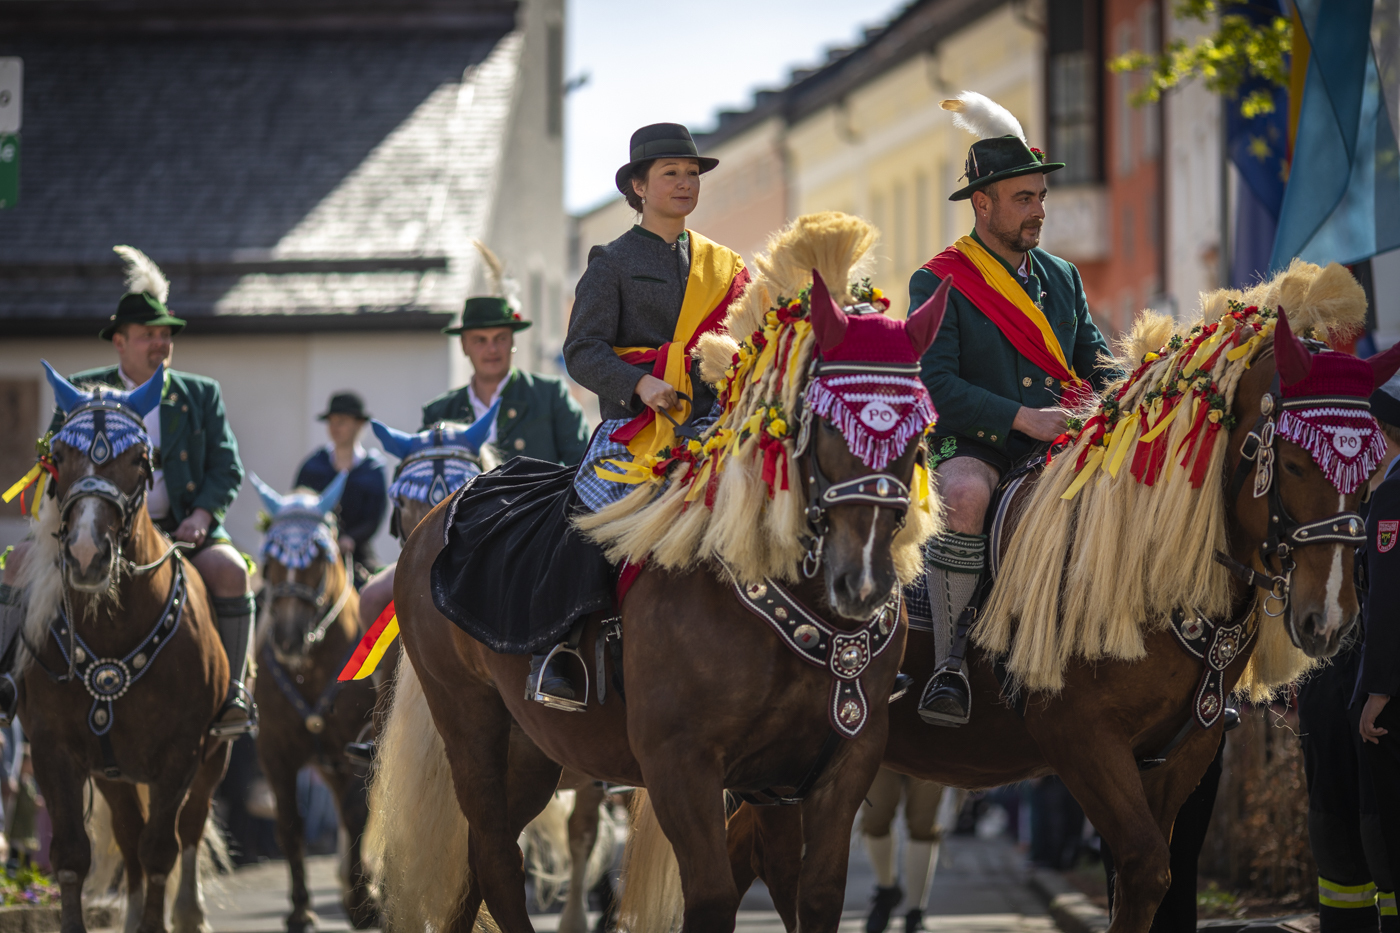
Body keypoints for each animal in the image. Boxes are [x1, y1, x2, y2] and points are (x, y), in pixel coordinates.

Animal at [13, 361, 228, 930]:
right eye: (60, 456)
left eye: (138, 460)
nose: (87, 554)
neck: (114, 632)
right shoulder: (54, 749)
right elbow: (71, 854)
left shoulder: (181, 752)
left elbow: (161, 849)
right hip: (114, 773)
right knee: (130, 836)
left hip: (214, 755)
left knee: (188, 828)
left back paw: (189, 911)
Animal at [247, 476, 375, 924]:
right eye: (269, 561)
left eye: (318, 560)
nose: (287, 638)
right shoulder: (274, 751)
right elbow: (289, 822)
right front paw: (301, 909)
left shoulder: (354, 747)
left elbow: (355, 816)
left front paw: (360, 905)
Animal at [369, 212, 940, 930]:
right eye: (828, 424)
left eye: (917, 435)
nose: (861, 583)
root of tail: (442, 518)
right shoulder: (681, 765)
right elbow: (714, 897)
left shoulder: (830, 766)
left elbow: (813, 892)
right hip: (471, 723)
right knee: (496, 853)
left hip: (533, 747)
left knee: (479, 858)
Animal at [722, 264, 1400, 924]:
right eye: (1293, 463)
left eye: (1370, 474)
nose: (1331, 618)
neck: (1138, 555)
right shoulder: (1081, 736)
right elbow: (1145, 868)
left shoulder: (1184, 750)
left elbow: (1145, 885)